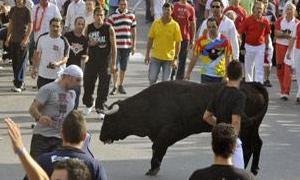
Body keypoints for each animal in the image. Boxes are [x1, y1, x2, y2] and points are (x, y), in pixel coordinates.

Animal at [99, 80, 268, 176]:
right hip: (253, 128)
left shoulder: (166, 133)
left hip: (246, 129)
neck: (150, 104)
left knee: (248, 146)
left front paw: (153, 169)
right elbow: (157, 149)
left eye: (109, 120)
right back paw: (254, 169)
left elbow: (157, 149)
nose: (100, 137)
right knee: (257, 143)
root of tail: (251, 85)